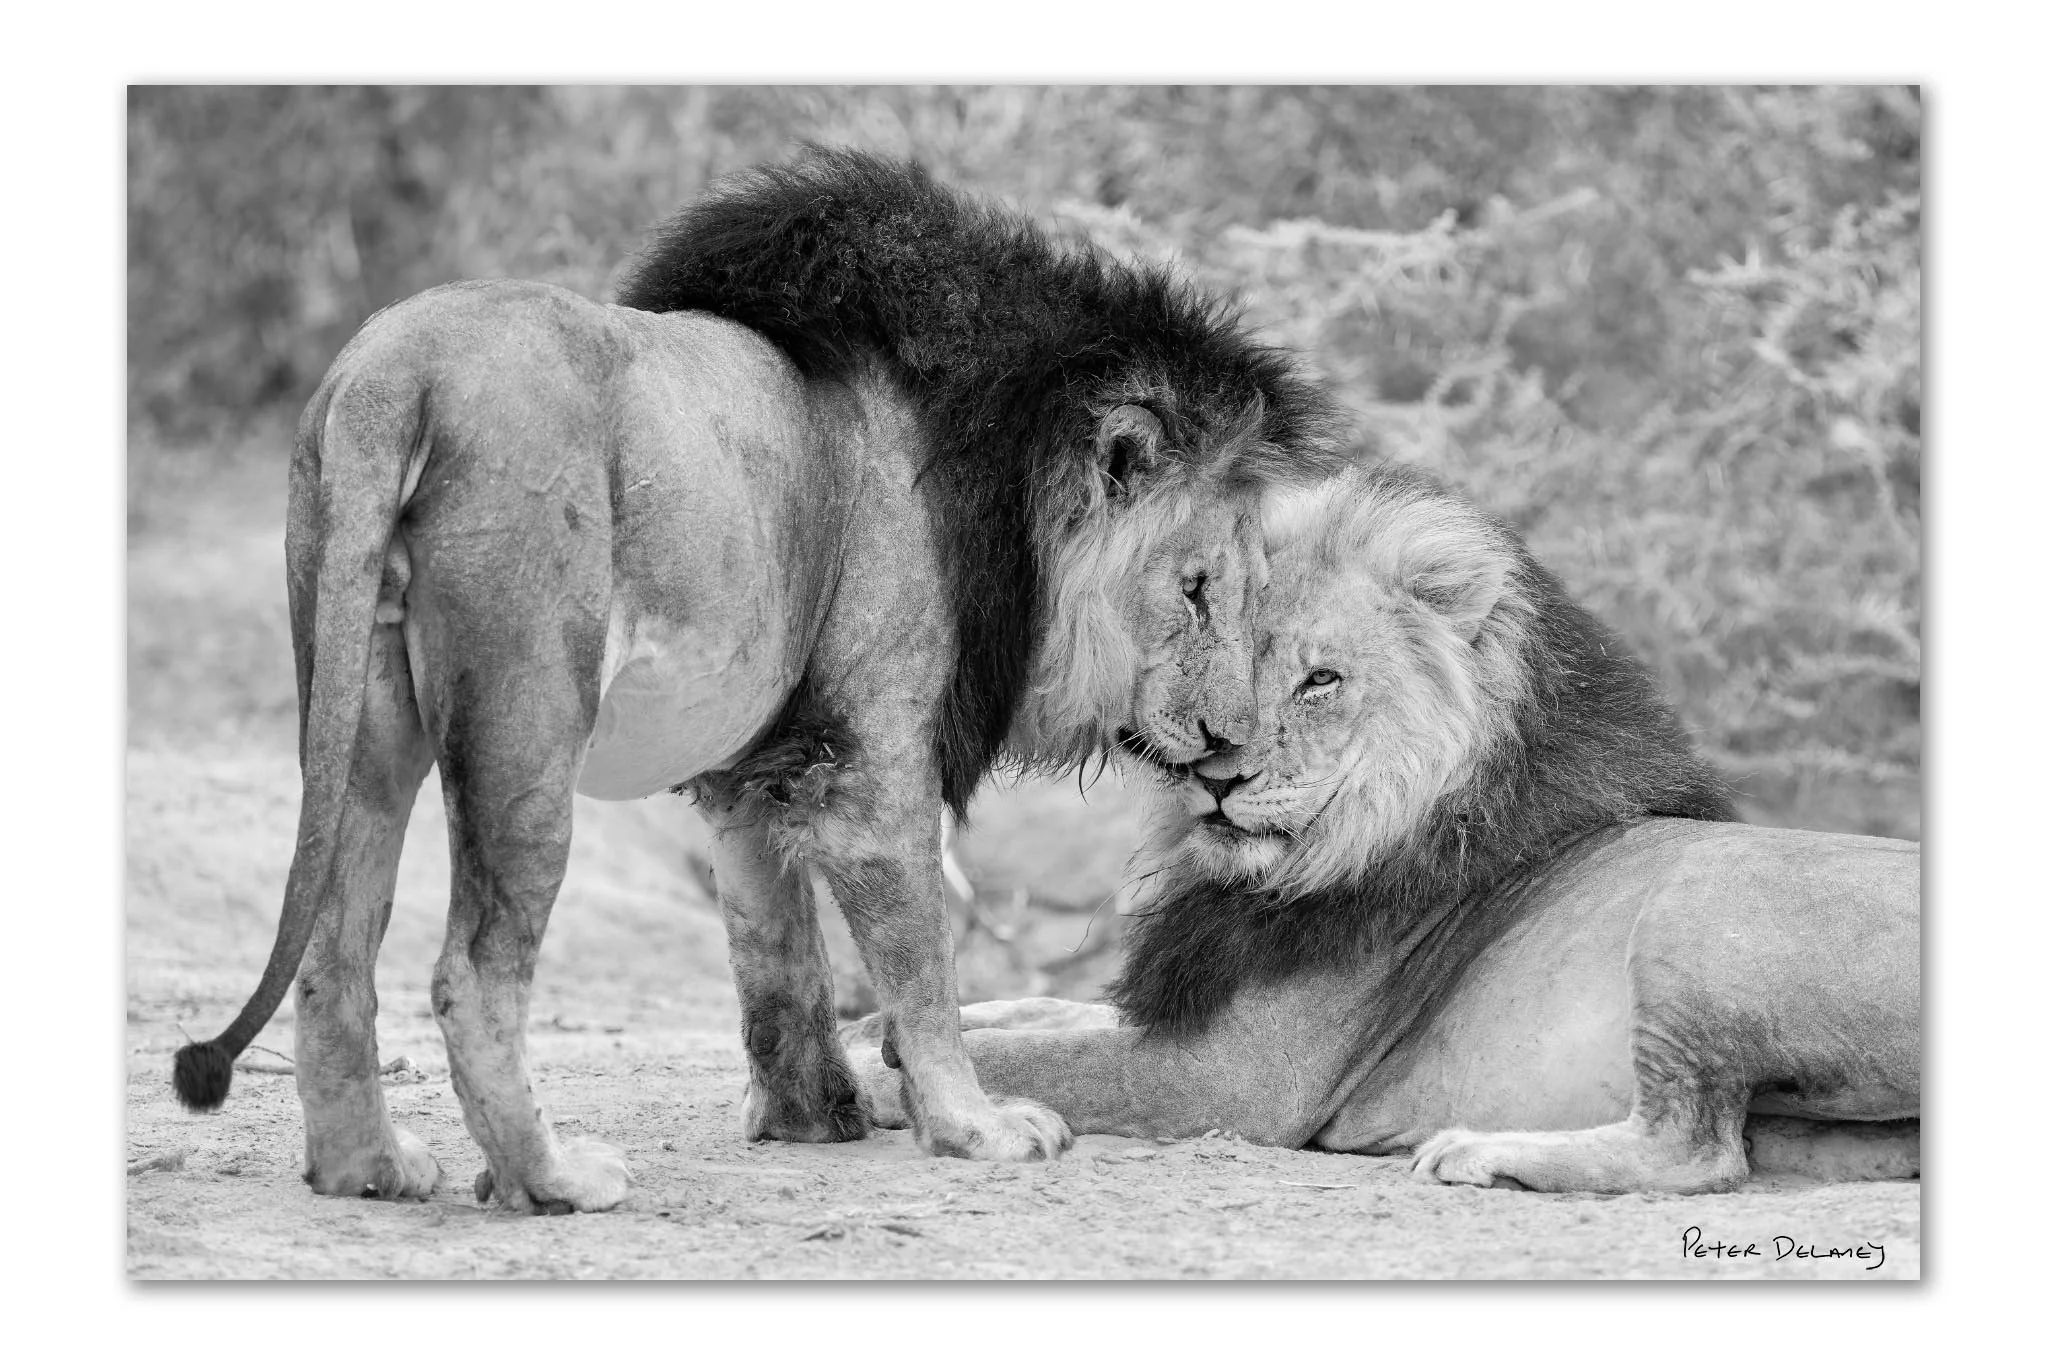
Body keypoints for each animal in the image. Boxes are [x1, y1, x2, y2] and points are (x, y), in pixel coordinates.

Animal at [169, 149, 1341, 1212]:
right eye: (1196, 589)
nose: (1233, 740)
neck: (1001, 477)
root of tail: (393, 370)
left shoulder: (755, 768)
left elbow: (775, 956)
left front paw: (813, 1115)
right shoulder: (878, 760)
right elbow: (921, 963)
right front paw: (973, 1127)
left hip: (365, 712)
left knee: (335, 947)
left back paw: (367, 1166)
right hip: (527, 718)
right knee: (471, 972)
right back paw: (550, 1178)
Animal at [844, 462, 1920, 1195]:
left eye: (1319, 679)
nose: (1219, 772)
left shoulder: (1233, 1079)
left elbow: (1037, 1056)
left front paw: (884, 1079)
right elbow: (1031, 1012)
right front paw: (866, 1034)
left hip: (1700, 901)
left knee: (1696, 1148)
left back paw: (1479, 1151)